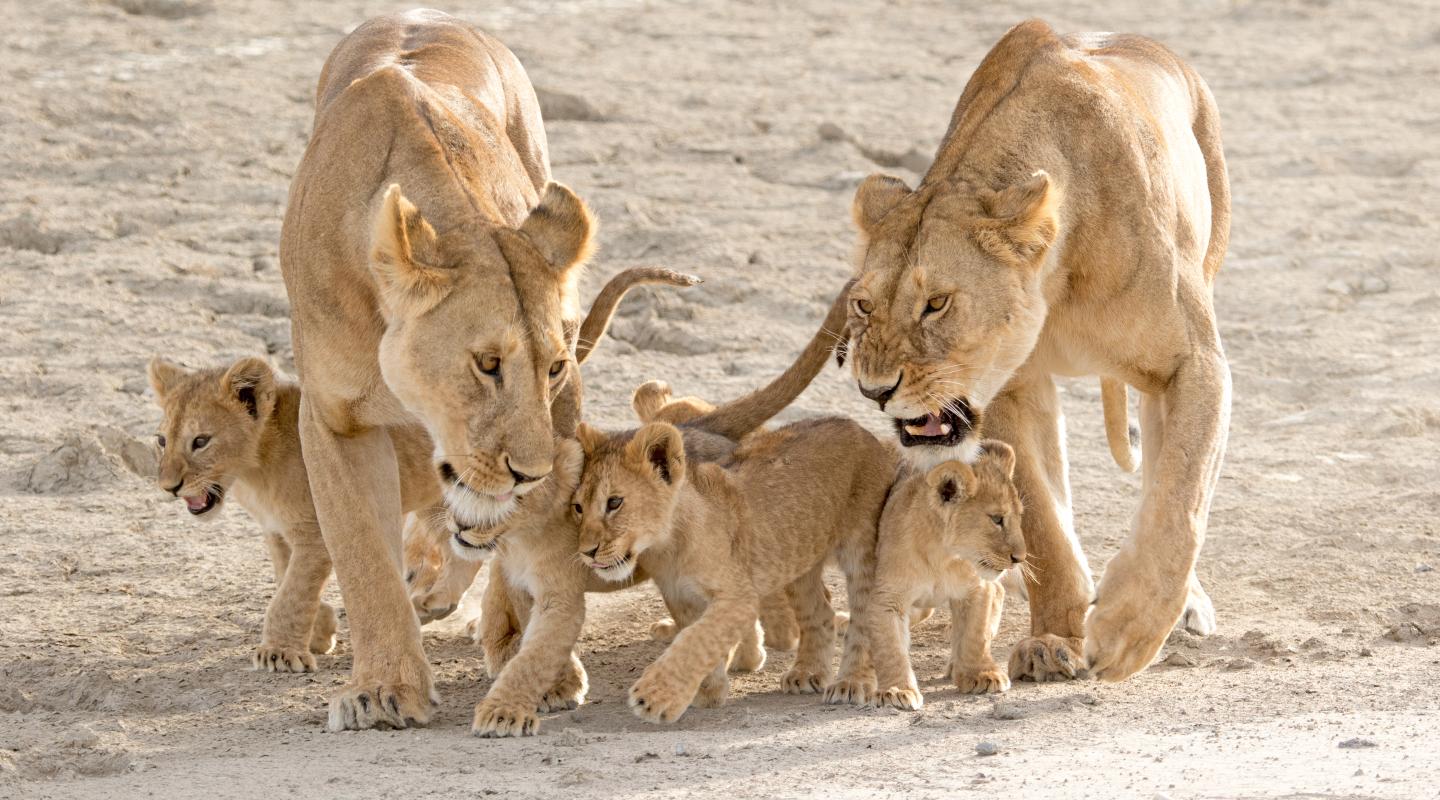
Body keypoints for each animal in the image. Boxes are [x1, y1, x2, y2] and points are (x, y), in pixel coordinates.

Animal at [147, 356, 443, 672]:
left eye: (201, 441)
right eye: (162, 441)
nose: (168, 487)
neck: (253, 471)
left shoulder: (318, 530)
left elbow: (293, 591)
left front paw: (279, 653)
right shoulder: (276, 529)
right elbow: (286, 577)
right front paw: (320, 630)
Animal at [279, 10, 615, 729]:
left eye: (553, 367)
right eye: (487, 364)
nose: (529, 470)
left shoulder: (562, 410)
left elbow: (534, 537)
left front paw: (540, 669)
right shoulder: (334, 422)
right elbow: (364, 558)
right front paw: (383, 689)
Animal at [573, 414, 898, 723]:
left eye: (615, 502)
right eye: (578, 507)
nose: (586, 552)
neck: (666, 548)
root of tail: (858, 428)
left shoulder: (740, 596)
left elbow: (697, 639)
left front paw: (656, 697)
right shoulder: (681, 597)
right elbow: (698, 638)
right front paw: (709, 690)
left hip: (862, 546)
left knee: (864, 614)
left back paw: (851, 683)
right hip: (799, 556)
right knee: (821, 611)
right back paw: (807, 673)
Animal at [840, 20, 1230, 682]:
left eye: (936, 303)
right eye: (864, 305)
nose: (875, 392)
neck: (1057, 278)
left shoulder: (1195, 364)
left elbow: (1180, 497)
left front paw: (1127, 631)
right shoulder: (1006, 387)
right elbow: (1045, 522)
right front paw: (1055, 638)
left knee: (1163, 475)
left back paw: (1182, 605)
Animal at [866, 441, 1027, 711]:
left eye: (1019, 517)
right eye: (997, 519)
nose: (1020, 558)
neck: (943, 557)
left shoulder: (977, 588)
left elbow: (975, 635)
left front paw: (980, 675)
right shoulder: (888, 597)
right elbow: (891, 648)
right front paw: (897, 690)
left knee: (998, 592)